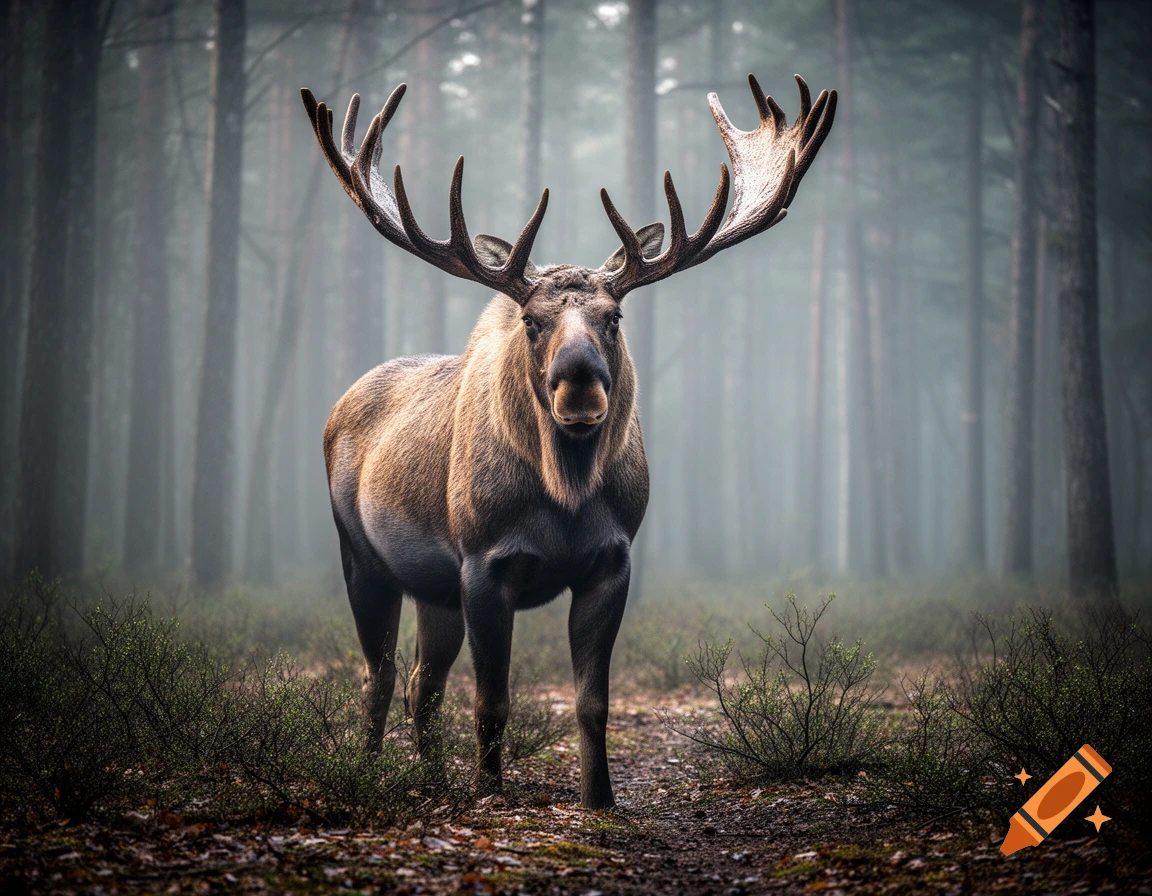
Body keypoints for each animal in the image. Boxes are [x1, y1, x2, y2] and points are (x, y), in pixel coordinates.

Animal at [301, 73, 835, 809]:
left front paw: (598, 797)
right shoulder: (482, 562)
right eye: (531, 319)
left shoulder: (611, 561)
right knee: (378, 676)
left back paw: (431, 779)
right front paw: (489, 792)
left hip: (432, 588)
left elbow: (592, 701)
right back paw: (369, 771)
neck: (566, 493)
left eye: (614, 317)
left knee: (421, 684)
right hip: (361, 557)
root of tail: (337, 407)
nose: (579, 385)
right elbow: (492, 700)